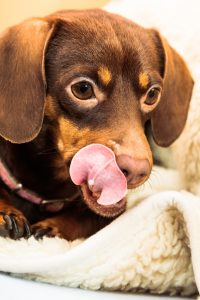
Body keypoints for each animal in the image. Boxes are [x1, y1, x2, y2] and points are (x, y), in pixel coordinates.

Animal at [0, 8, 194, 239]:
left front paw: (53, 227)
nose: (136, 170)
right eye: (82, 89)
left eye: (153, 94)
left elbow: (84, 218)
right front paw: (6, 212)